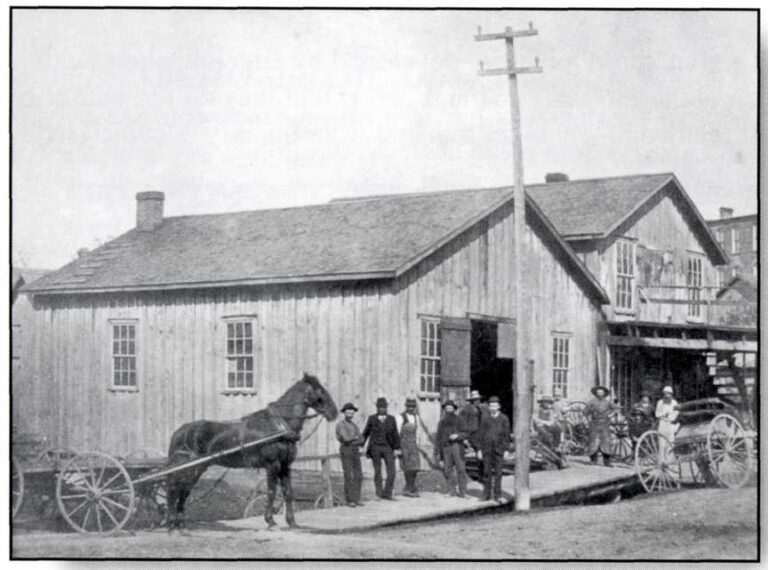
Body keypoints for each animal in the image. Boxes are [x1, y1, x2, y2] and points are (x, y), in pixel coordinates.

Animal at [166, 372, 338, 528]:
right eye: (320, 391)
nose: (334, 412)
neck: (279, 425)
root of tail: (180, 431)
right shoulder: (272, 465)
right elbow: (271, 492)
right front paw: (270, 520)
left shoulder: (285, 465)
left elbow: (288, 492)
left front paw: (292, 522)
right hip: (190, 467)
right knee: (177, 487)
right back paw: (172, 520)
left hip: (198, 467)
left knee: (184, 489)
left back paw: (179, 522)